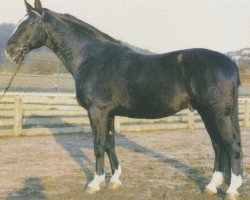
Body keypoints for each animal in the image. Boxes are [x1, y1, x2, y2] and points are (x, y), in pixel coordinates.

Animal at [5, 0, 242, 199]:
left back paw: (231, 189)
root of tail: (230, 62)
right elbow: (110, 144)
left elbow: (98, 145)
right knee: (218, 146)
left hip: (217, 114)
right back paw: (212, 186)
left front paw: (95, 184)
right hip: (207, 113)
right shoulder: (108, 113)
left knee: (231, 146)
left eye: (29, 24)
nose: (9, 50)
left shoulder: (96, 111)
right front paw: (115, 181)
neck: (92, 57)